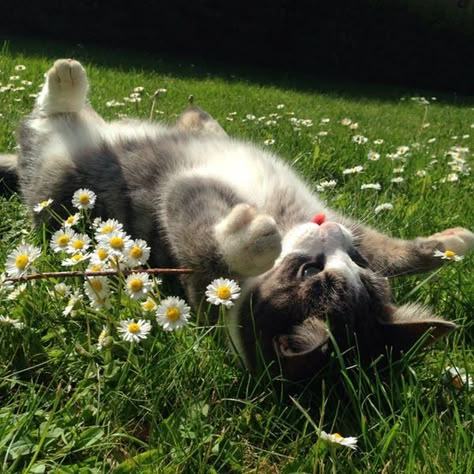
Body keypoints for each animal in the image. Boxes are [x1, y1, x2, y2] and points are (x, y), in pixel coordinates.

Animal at [0, 59, 474, 380]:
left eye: (308, 271)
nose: (327, 231)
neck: (289, 218)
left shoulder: (181, 196)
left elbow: (202, 244)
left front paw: (252, 240)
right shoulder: (347, 227)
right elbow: (390, 250)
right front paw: (452, 243)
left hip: (56, 172)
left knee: (44, 124)